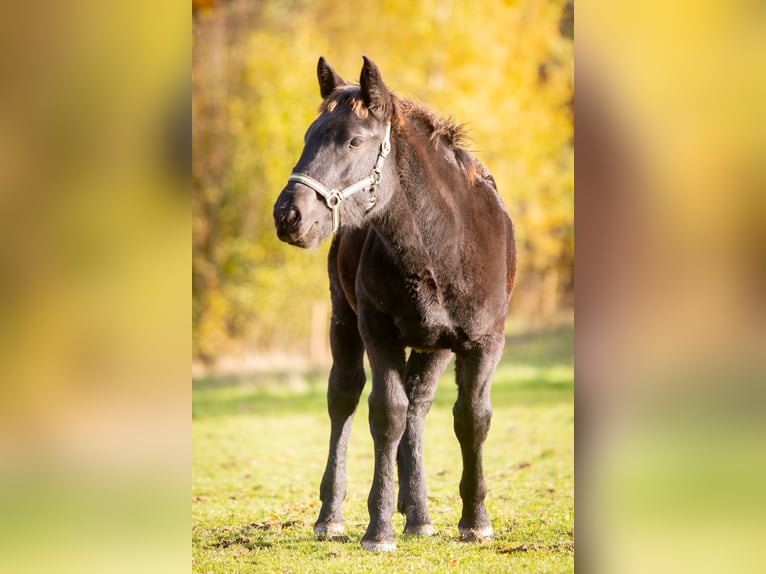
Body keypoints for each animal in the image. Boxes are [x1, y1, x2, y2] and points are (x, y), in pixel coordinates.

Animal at [273, 56, 517, 552]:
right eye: (309, 136)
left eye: (354, 140)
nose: (289, 215)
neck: (443, 246)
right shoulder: (378, 332)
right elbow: (387, 414)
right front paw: (379, 528)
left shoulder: (485, 343)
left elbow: (472, 418)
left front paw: (475, 521)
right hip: (344, 324)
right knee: (345, 398)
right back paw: (332, 517)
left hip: (433, 347)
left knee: (419, 407)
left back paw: (419, 516)